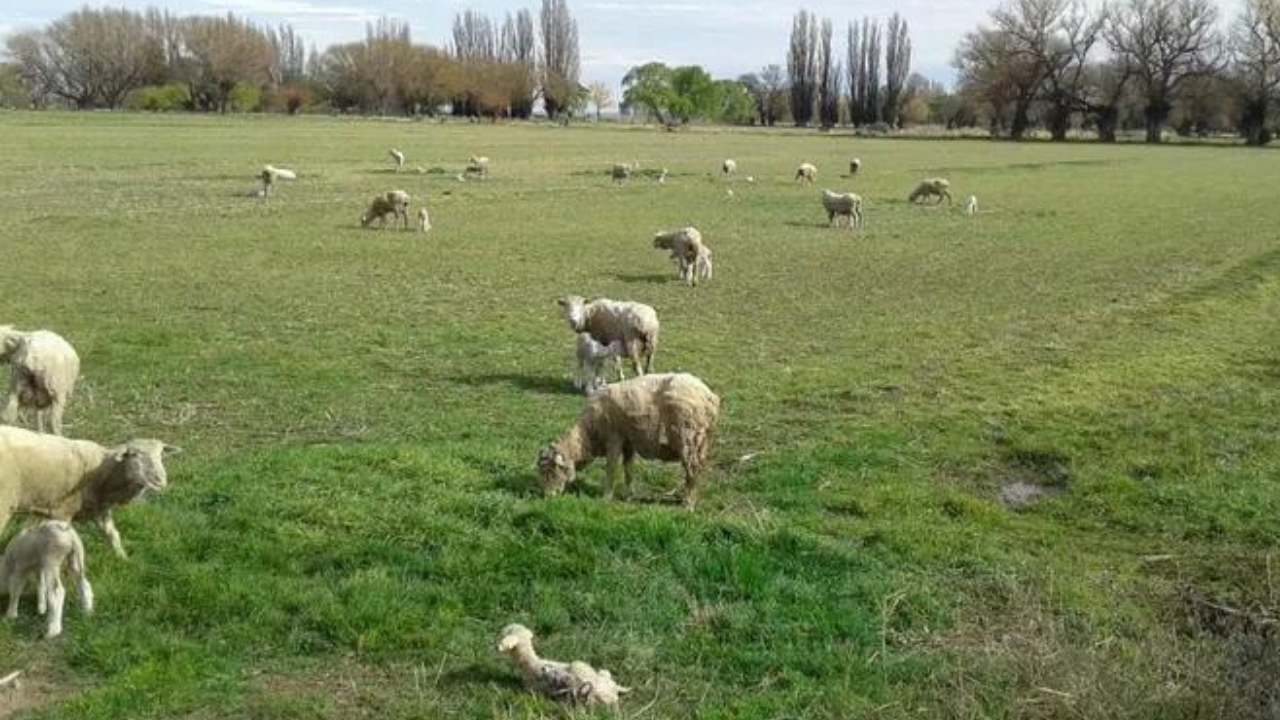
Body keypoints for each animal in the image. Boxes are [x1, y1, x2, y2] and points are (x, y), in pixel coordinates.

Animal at [0, 422, 180, 558]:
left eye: (161, 455)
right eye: (134, 455)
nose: (160, 480)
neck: (105, 471)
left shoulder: (100, 508)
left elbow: (112, 534)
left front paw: (123, 558)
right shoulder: (62, 510)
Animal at [535, 371, 721, 507]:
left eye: (549, 471)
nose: (546, 497)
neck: (588, 434)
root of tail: (711, 397)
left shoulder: (614, 439)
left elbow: (611, 469)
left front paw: (606, 497)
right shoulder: (629, 442)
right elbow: (628, 469)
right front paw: (629, 495)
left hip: (690, 437)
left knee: (693, 471)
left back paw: (688, 504)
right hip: (700, 441)